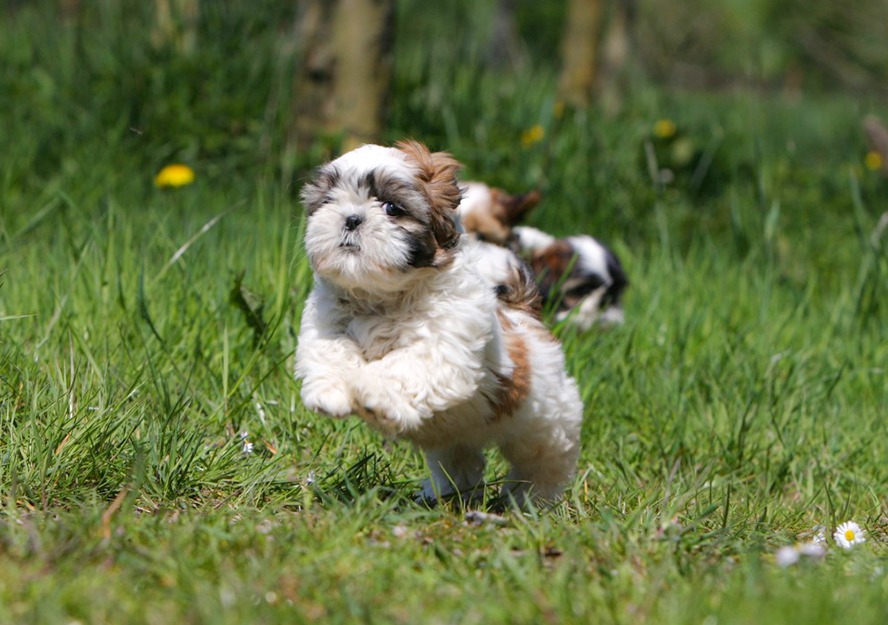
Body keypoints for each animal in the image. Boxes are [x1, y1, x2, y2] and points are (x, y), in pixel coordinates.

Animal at [294, 140, 584, 502]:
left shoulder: (445, 344)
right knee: (459, 456)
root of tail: (524, 312)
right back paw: (445, 490)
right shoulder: (326, 323)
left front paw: (371, 391)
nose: (351, 218)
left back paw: (532, 498)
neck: (383, 297)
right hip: (458, 436)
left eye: (392, 208)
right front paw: (330, 392)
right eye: (329, 201)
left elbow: (403, 365)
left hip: (541, 416)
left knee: (545, 453)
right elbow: (330, 350)